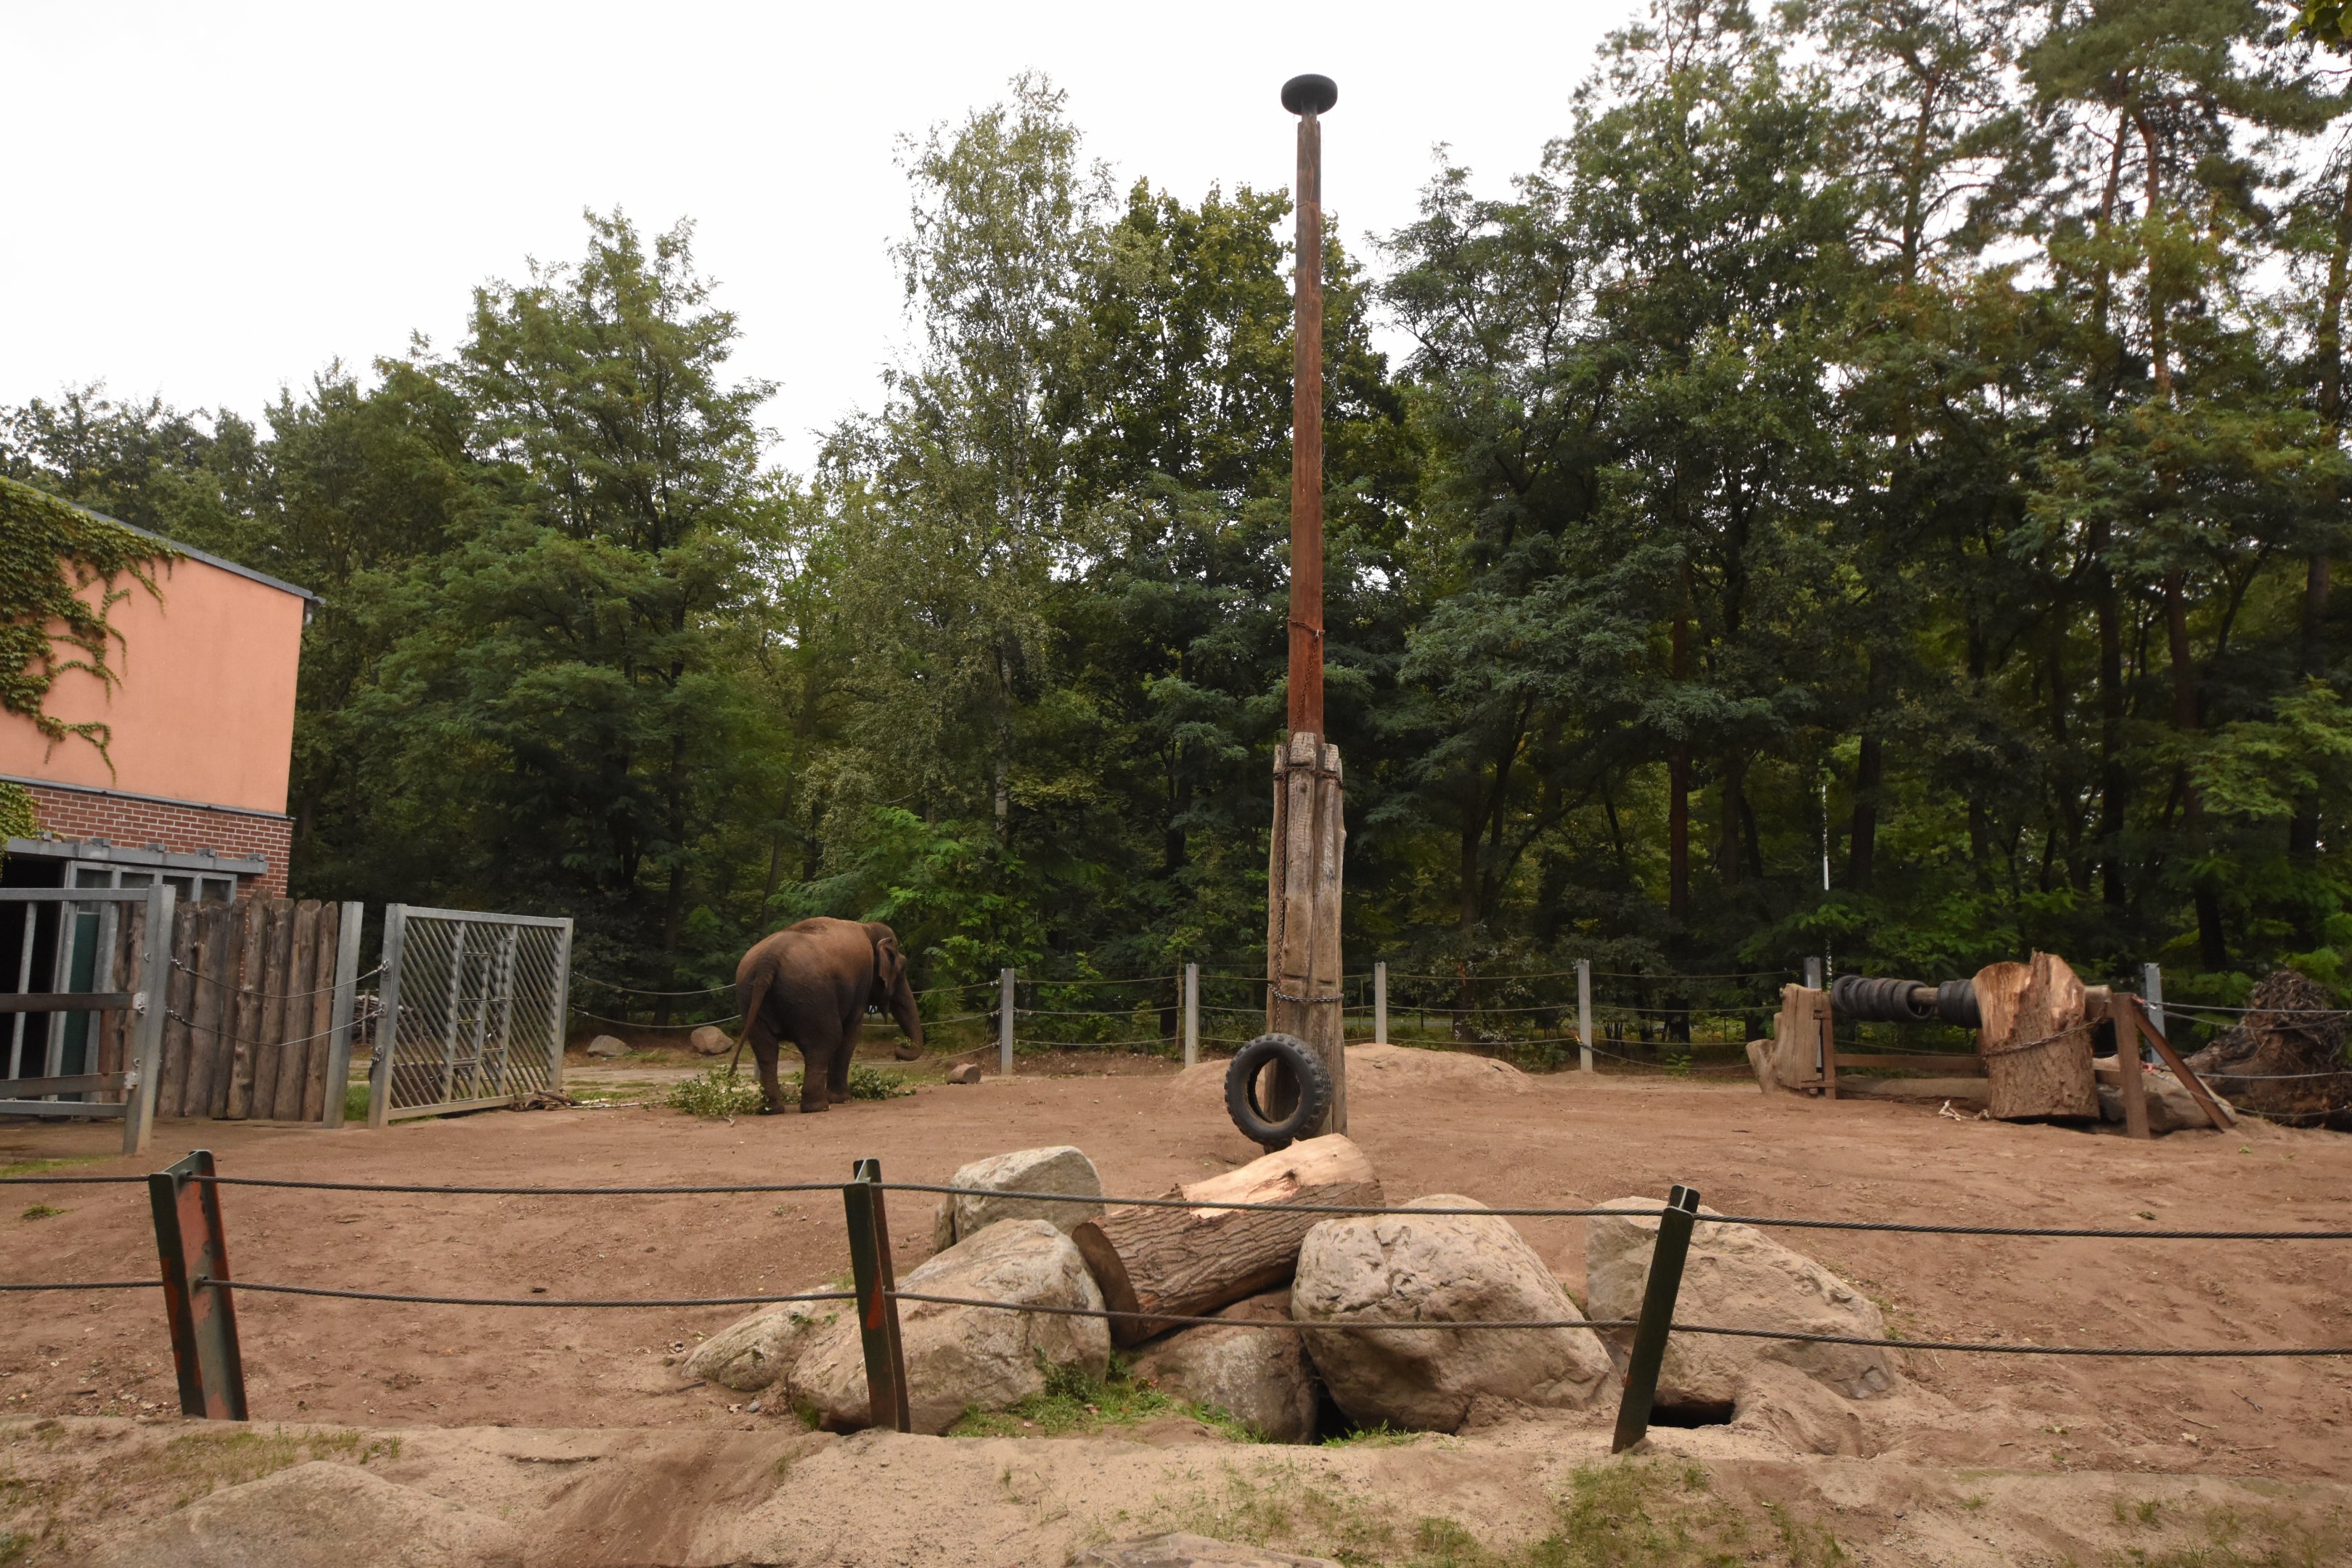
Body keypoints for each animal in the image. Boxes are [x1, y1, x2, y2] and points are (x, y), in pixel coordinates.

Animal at [733, 918, 924, 1114]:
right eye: (903, 967)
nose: (898, 1049)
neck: (867, 927)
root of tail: (769, 959)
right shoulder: (862, 983)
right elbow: (850, 1033)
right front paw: (843, 1099)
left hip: (749, 995)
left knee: (766, 1049)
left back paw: (772, 1109)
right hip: (811, 996)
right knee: (824, 1042)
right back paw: (818, 1107)